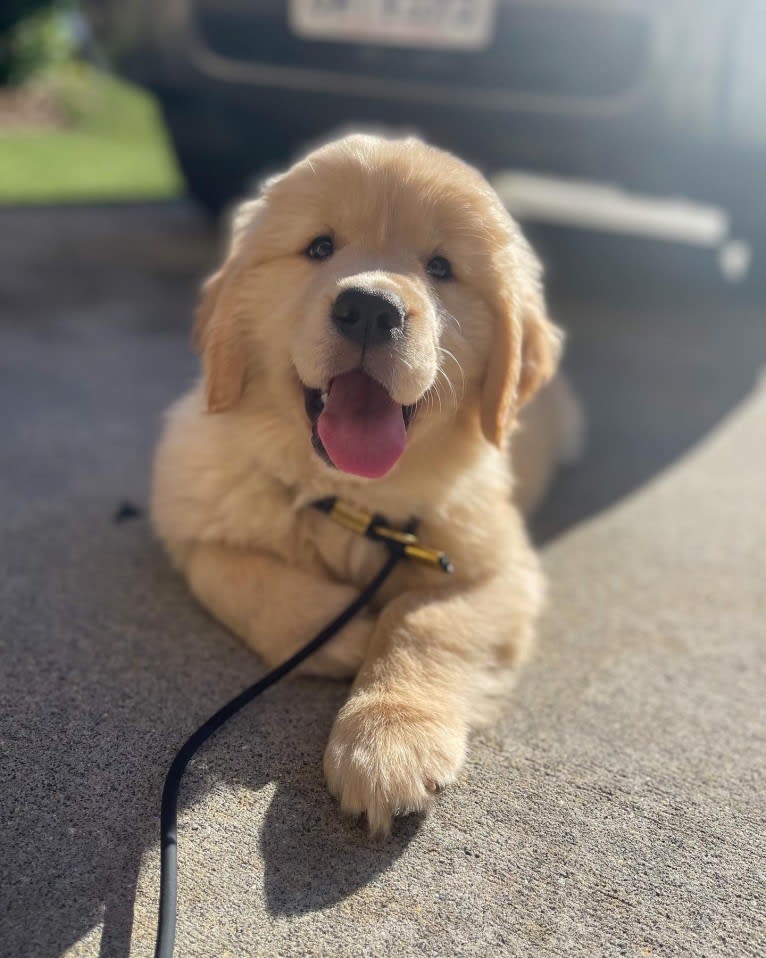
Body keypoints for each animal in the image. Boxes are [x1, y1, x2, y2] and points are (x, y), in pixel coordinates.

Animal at [153, 131, 568, 836]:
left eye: (441, 267)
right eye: (320, 247)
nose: (370, 309)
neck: (352, 498)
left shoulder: (499, 567)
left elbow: (420, 620)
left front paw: (388, 741)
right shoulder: (193, 524)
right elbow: (248, 580)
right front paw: (346, 634)